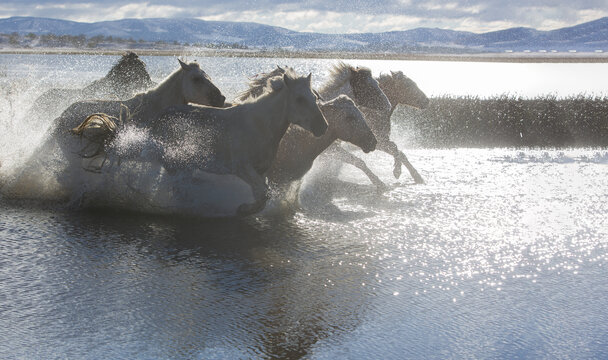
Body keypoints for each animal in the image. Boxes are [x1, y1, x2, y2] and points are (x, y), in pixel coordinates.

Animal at [147, 69, 328, 217]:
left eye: (314, 97)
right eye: (299, 99)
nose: (323, 126)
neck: (260, 126)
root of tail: (161, 115)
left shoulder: (260, 171)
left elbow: (263, 194)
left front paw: (246, 208)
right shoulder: (242, 168)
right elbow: (264, 194)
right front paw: (243, 209)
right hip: (174, 164)